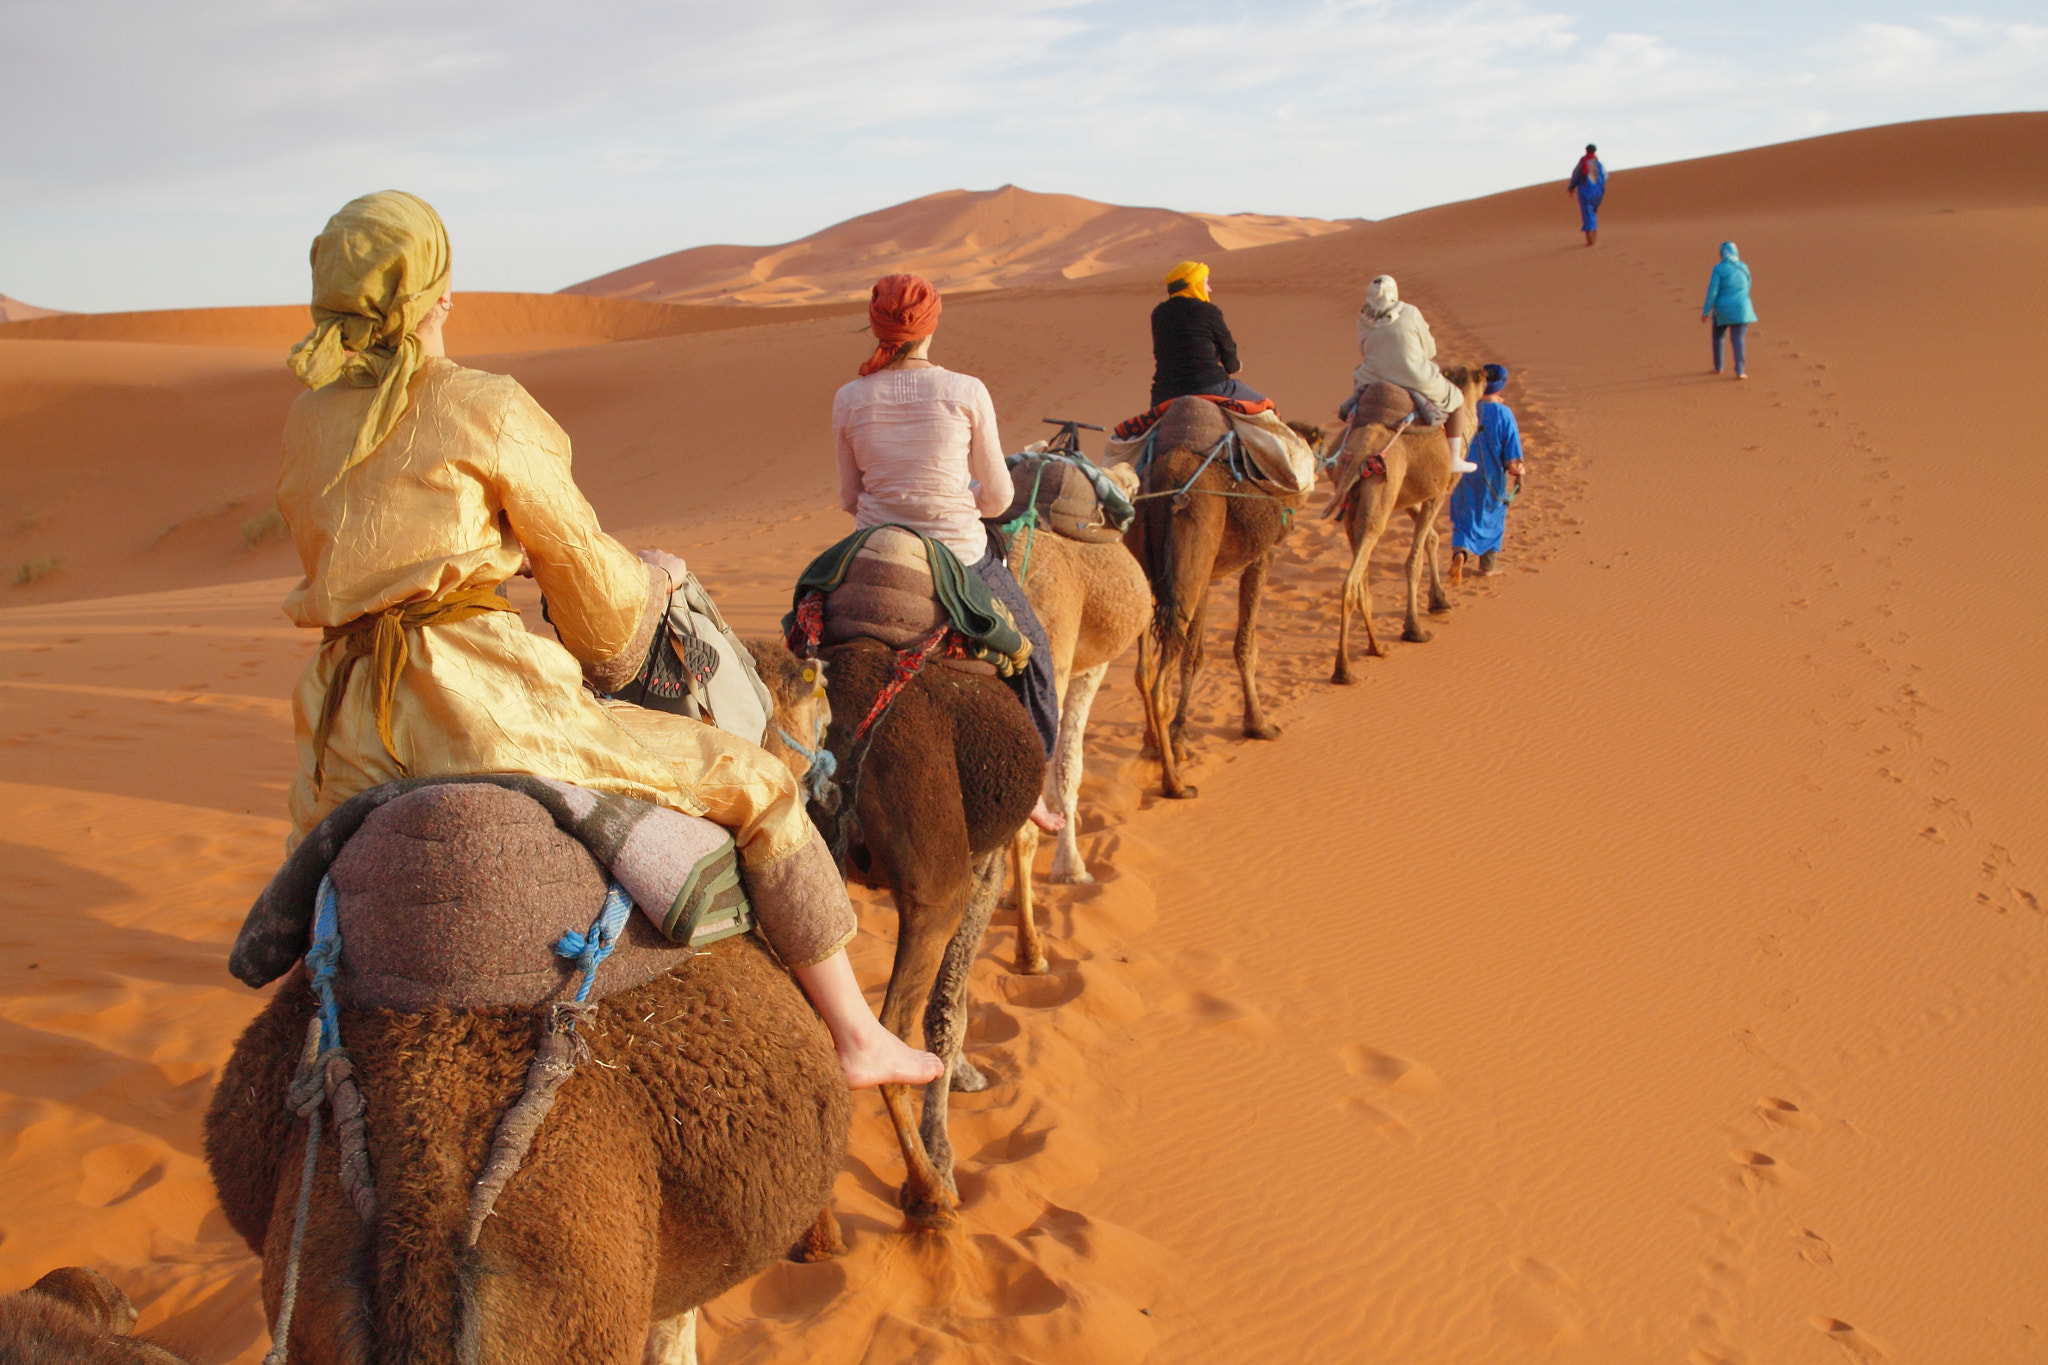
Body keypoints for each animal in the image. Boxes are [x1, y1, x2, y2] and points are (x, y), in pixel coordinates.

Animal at [1122, 398, 1317, 800]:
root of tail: (1165, 475)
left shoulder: (1208, 577)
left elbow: (1194, 656)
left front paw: (1180, 735)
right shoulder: (1263, 556)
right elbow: (1245, 645)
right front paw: (1258, 724)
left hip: (1153, 567)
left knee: (1144, 669)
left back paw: (1153, 744)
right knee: (1160, 684)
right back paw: (1175, 784)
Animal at [1324, 365, 1489, 684]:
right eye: (1481, 376)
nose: (1489, 372)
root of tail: (1361, 447)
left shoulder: (1410, 495)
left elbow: (1431, 539)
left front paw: (1439, 600)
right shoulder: (1438, 492)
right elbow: (1414, 559)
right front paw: (1414, 628)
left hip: (1354, 500)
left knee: (1362, 577)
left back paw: (1376, 647)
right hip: (1381, 489)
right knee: (1352, 580)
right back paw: (1344, 669)